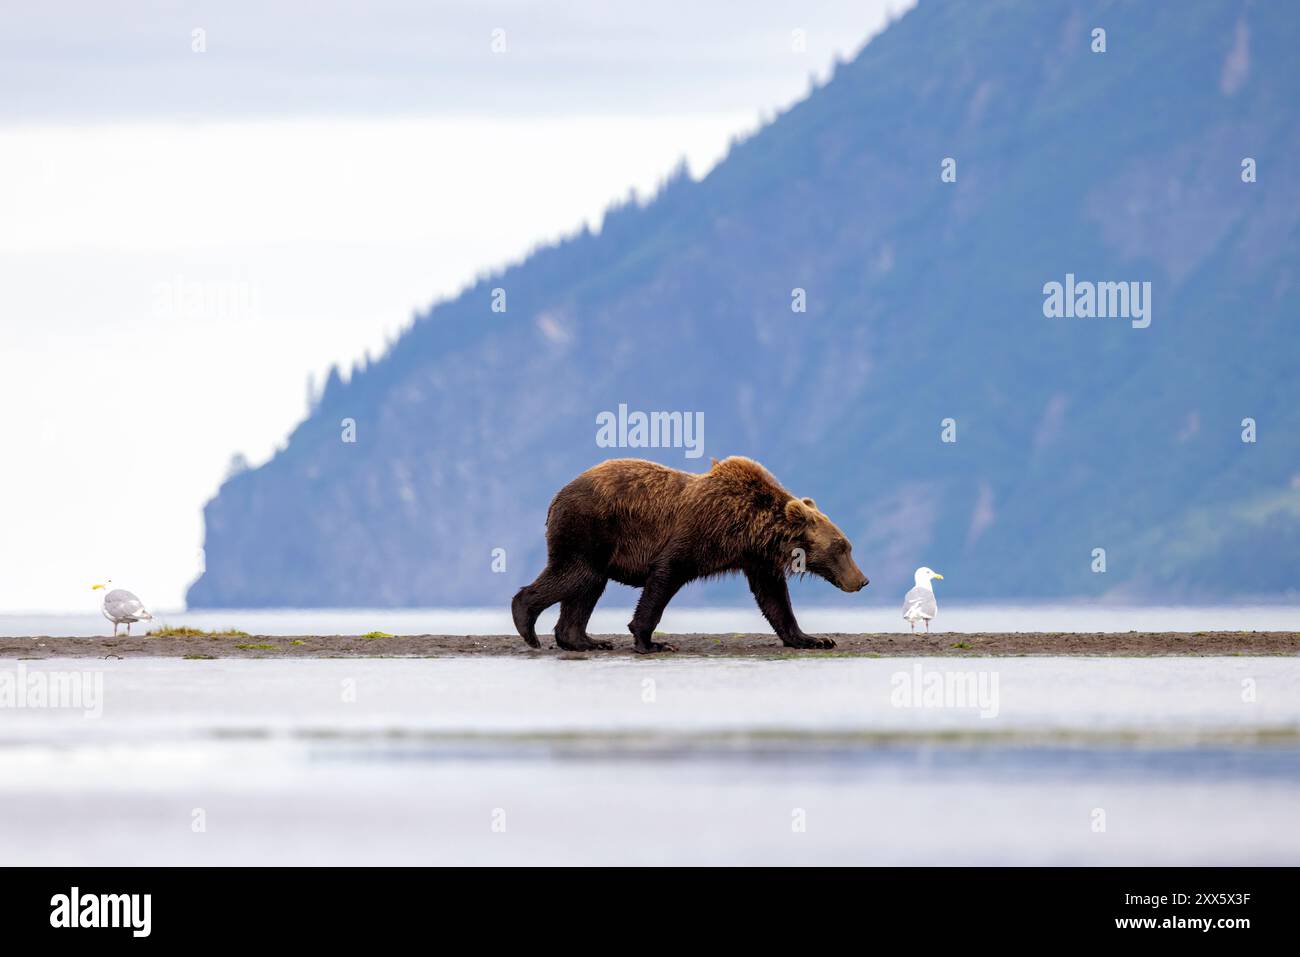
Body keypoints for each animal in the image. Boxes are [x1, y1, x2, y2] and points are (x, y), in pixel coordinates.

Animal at [512, 455, 868, 650]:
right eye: (841, 546)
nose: (862, 580)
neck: (747, 529)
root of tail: (556, 497)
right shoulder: (697, 534)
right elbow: (665, 576)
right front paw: (651, 640)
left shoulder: (756, 558)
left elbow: (774, 599)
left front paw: (814, 638)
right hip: (589, 529)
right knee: (576, 575)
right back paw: (527, 622)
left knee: (587, 586)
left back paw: (586, 640)